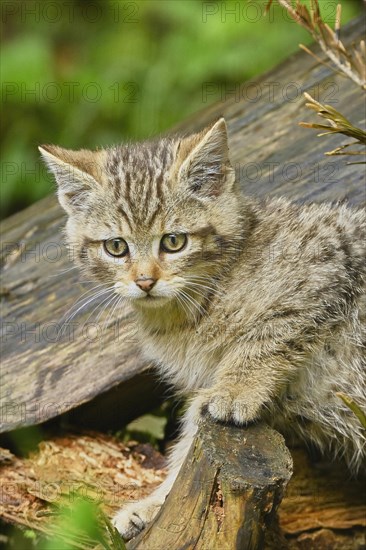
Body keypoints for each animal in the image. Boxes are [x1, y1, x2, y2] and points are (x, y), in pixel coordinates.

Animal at [39, 118, 364, 540]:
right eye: (116, 247)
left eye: (174, 241)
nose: (144, 281)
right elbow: (193, 431)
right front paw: (154, 505)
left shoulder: (328, 262)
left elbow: (269, 334)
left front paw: (236, 389)